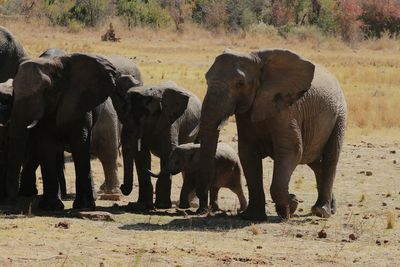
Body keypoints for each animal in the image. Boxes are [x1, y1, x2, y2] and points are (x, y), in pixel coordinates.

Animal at [5, 53, 120, 210]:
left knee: (108, 153)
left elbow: (80, 143)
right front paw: (51, 207)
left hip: (108, 116)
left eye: (46, 89)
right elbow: (46, 145)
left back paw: (110, 193)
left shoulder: (78, 102)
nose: (12, 200)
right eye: (13, 88)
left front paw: (83, 207)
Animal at [115, 79, 202, 211]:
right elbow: (141, 155)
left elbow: (168, 151)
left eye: (146, 115)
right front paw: (142, 205)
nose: (121, 186)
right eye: (123, 112)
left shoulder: (170, 121)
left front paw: (162, 205)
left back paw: (193, 204)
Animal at [198, 49, 346, 221]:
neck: (256, 60)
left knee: (330, 157)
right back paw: (329, 208)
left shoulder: (287, 109)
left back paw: (321, 211)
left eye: (240, 84)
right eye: (206, 79)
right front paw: (253, 216)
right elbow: (248, 153)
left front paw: (290, 206)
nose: (205, 209)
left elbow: (291, 150)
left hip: (340, 115)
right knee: (315, 162)